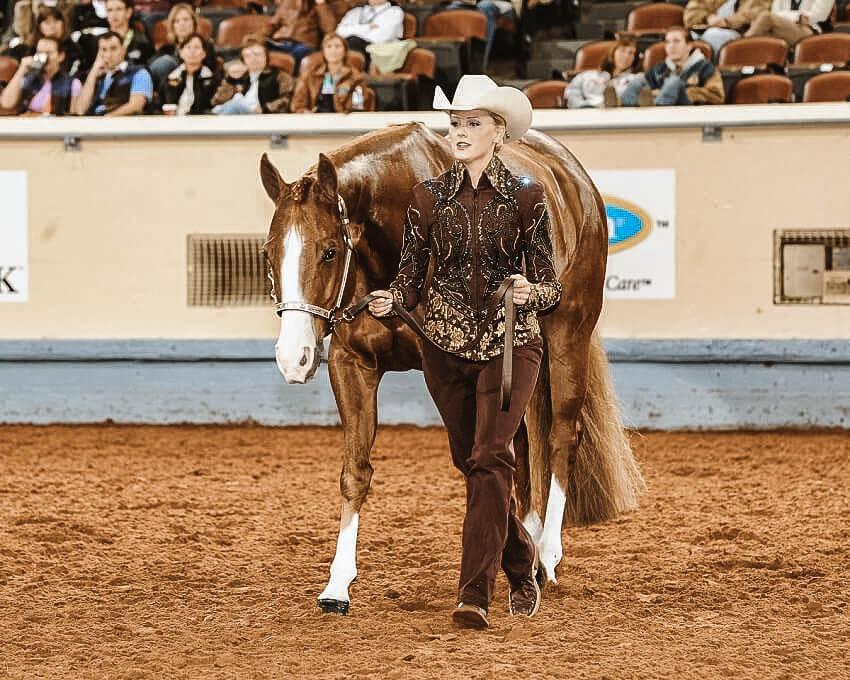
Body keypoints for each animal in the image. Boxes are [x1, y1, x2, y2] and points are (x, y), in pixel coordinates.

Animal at [258, 122, 644, 616]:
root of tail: (575, 177)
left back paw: (547, 554)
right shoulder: (351, 364)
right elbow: (356, 472)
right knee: (522, 445)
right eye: (269, 252)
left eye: (328, 251)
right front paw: (337, 585)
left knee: (560, 436)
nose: (294, 357)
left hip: (567, 335)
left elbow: (481, 462)